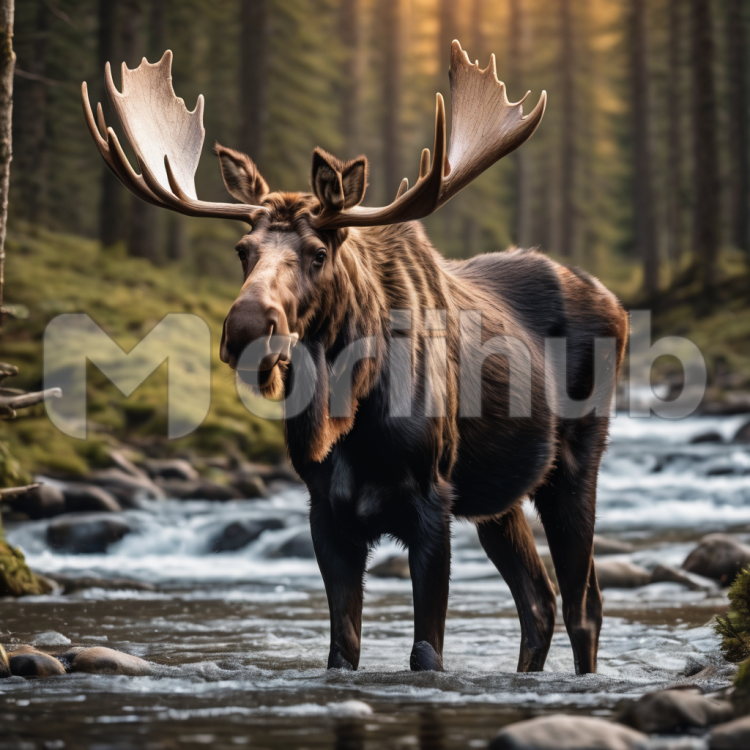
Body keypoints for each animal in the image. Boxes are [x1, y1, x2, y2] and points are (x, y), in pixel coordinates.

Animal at [82, 41, 628, 676]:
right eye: (243, 250)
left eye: (319, 252)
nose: (247, 328)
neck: (352, 416)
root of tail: (618, 305)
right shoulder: (326, 511)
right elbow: (342, 649)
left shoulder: (431, 501)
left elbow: (425, 653)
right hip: (499, 496)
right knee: (538, 600)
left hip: (577, 461)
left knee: (583, 604)